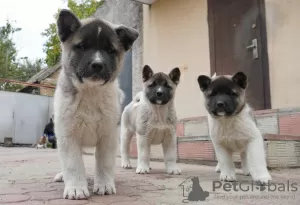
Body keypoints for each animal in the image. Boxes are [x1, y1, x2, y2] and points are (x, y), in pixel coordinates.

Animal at [52, 8, 138, 199]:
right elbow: (72, 164)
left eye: (110, 50)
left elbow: (104, 163)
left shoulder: (108, 136)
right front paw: (76, 187)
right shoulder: (68, 136)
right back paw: (62, 176)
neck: (90, 92)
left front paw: (104, 184)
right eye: (82, 47)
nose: (97, 64)